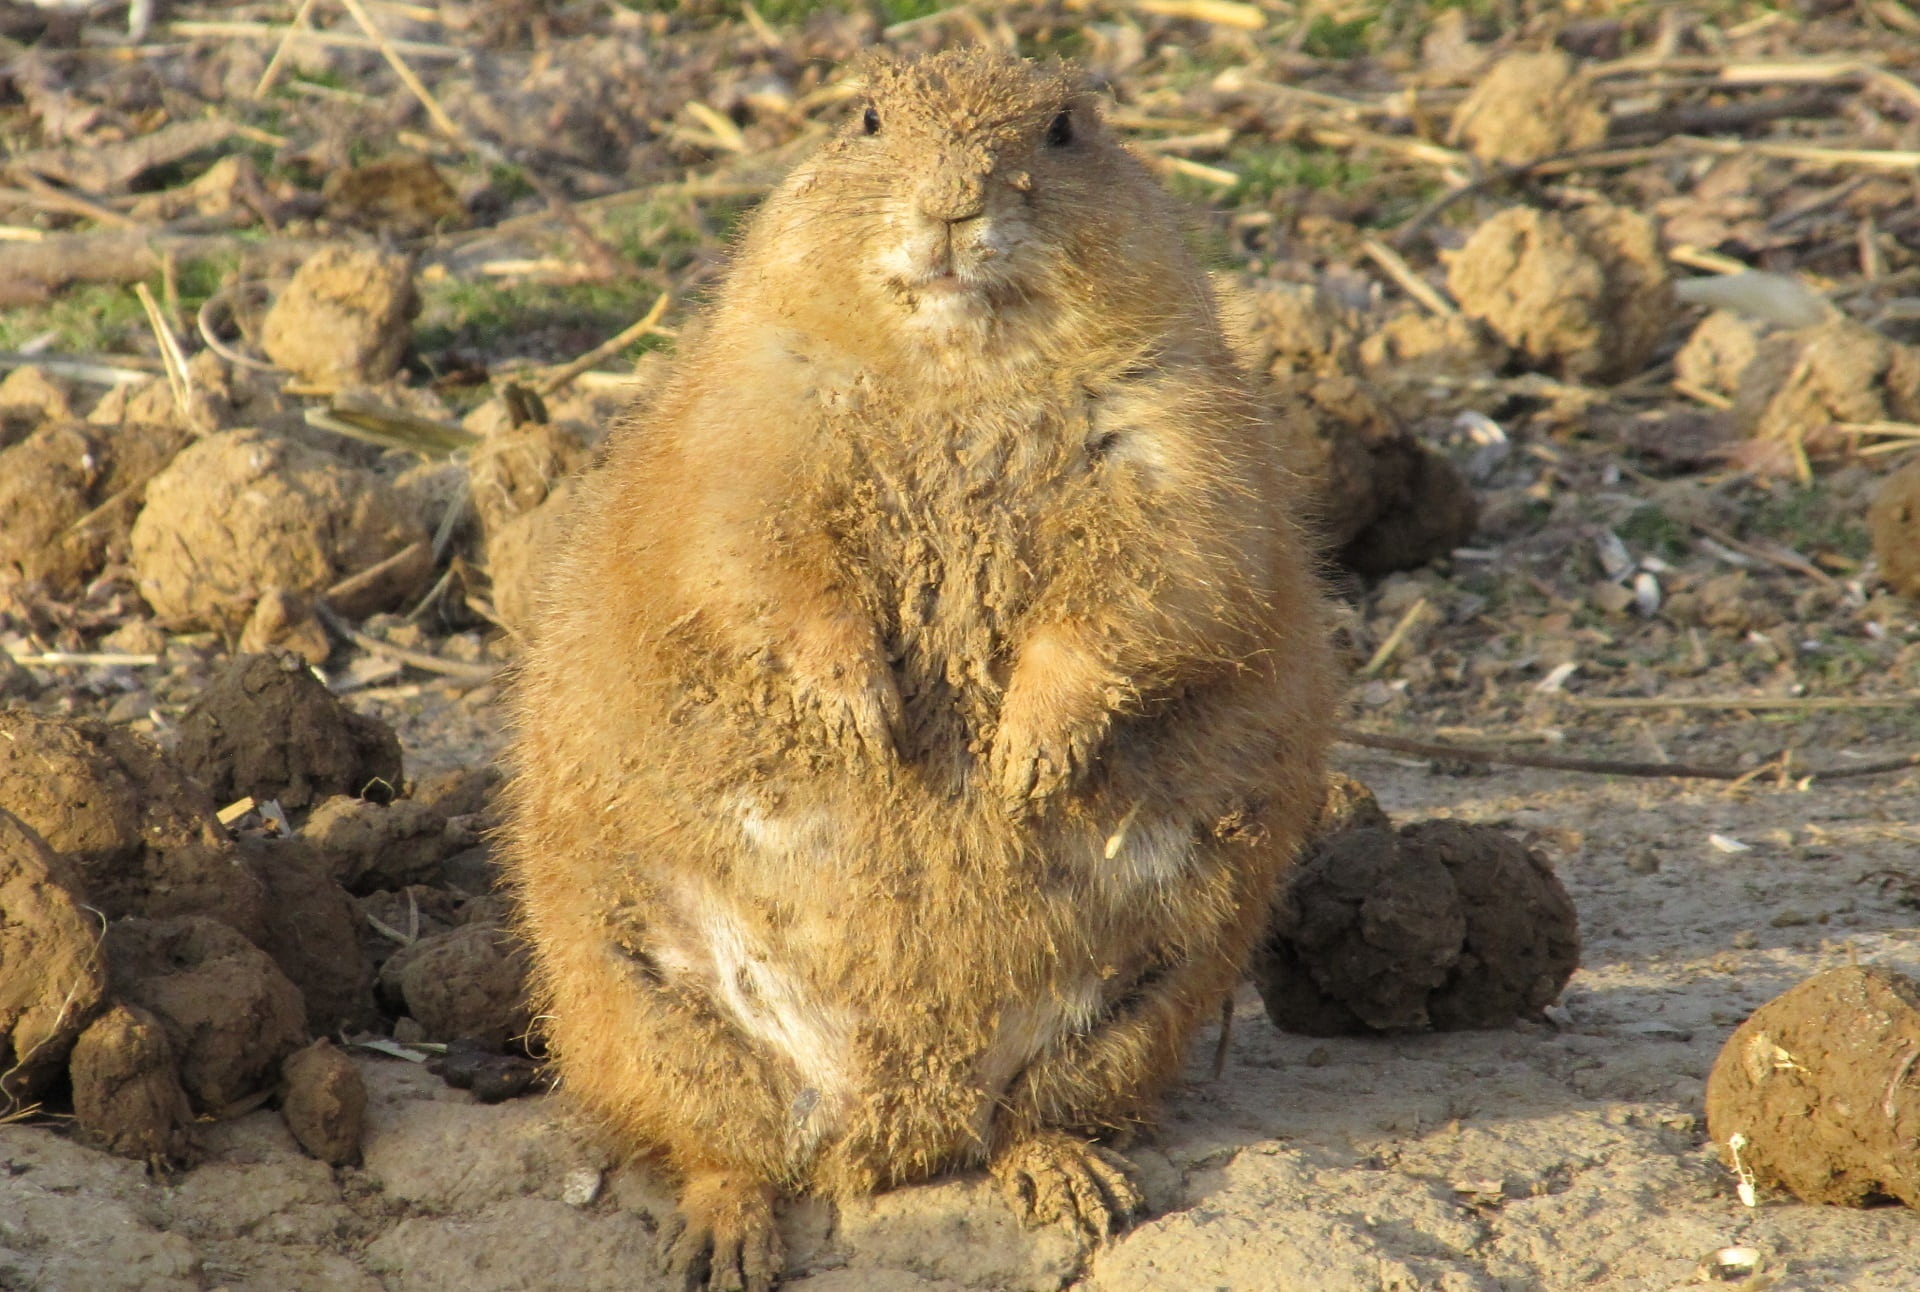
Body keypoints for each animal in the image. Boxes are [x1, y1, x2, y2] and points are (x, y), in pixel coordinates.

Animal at [501, 48, 1338, 1292]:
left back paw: (1079, 1186)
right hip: (631, 1004)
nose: (952, 202)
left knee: (1028, 1119)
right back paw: (724, 1236)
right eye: (864, 116)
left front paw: (1026, 755)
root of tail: (892, 1130)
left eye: (1065, 127)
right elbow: (754, 554)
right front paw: (868, 717)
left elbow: (1165, 577)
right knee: (720, 1148)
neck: (958, 372)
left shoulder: (1182, 428)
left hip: (1155, 998)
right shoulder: (746, 420)